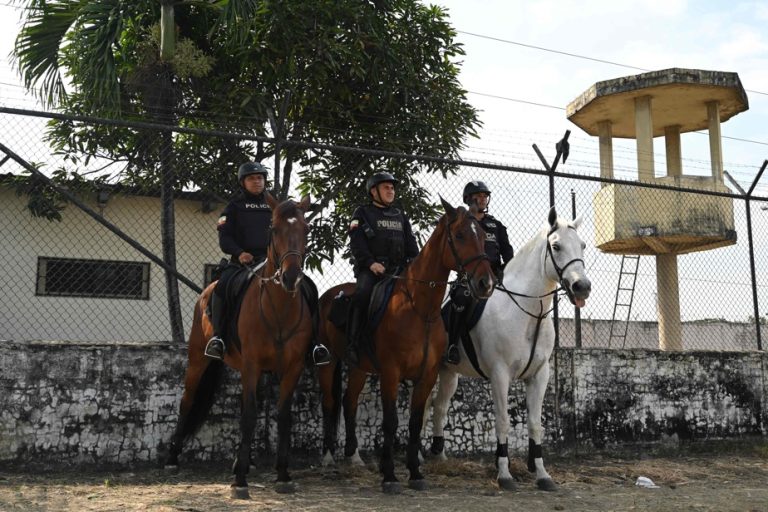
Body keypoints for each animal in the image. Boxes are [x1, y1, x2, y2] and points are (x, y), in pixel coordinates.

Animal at [164, 194, 312, 498]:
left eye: (305, 230)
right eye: (274, 230)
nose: (291, 277)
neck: (279, 309)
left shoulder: (293, 367)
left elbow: (282, 416)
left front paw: (282, 474)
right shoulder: (251, 365)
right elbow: (249, 415)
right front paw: (240, 481)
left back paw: (245, 461)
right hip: (198, 359)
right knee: (187, 401)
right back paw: (173, 459)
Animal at [318, 196, 498, 492]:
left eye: (483, 236)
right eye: (460, 235)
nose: (486, 283)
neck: (420, 309)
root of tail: (330, 295)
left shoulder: (427, 375)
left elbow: (414, 422)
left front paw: (414, 472)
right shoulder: (391, 373)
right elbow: (391, 422)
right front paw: (390, 475)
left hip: (359, 367)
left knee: (349, 401)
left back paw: (353, 456)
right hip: (328, 361)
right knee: (329, 402)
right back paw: (328, 457)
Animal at [428, 208, 592, 492]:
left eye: (582, 245)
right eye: (556, 246)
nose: (582, 287)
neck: (527, 313)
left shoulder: (539, 376)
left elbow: (536, 425)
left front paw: (542, 475)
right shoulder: (500, 375)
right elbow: (503, 422)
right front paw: (504, 474)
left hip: (449, 374)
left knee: (439, 408)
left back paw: (439, 456)